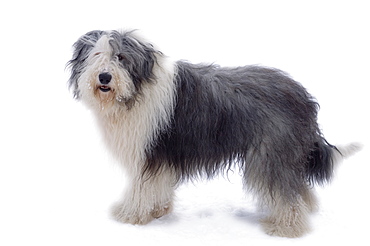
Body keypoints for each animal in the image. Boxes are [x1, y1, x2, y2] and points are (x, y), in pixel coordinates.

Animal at [66, 29, 362, 237]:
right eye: (96, 55)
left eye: (121, 58)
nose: (104, 77)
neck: (137, 90)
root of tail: (302, 96)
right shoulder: (163, 156)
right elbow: (158, 186)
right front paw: (158, 211)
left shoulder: (150, 153)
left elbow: (142, 186)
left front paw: (131, 216)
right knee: (298, 186)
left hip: (270, 152)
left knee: (285, 191)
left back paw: (287, 227)